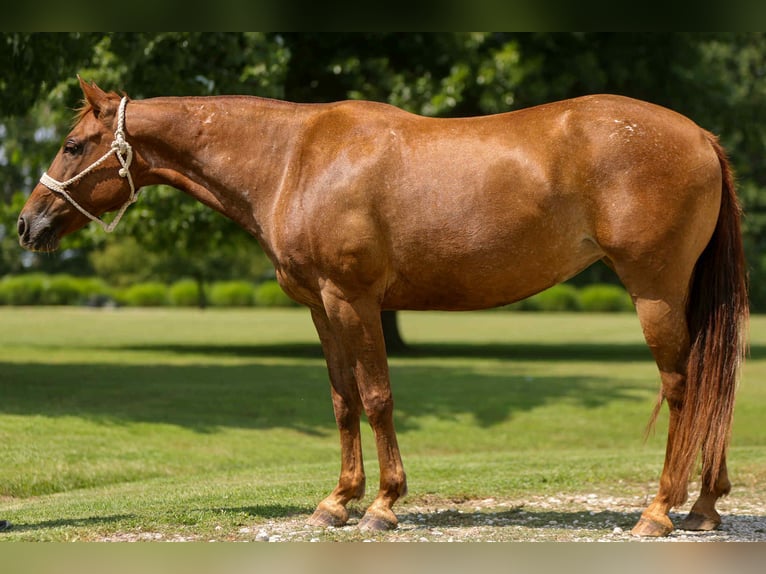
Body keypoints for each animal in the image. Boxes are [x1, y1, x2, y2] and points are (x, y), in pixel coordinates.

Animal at [17, 77, 748, 537]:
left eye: (74, 145)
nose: (27, 225)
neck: (295, 159)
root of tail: (702, 136)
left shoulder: (354, 299)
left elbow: (376, 397)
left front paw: (384, 503)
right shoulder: (320, 306)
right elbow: (342, 400)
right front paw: (336, 502)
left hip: (655, 291)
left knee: (684, 388)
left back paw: (659, 511)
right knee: (715, 386)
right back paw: (706, 505)